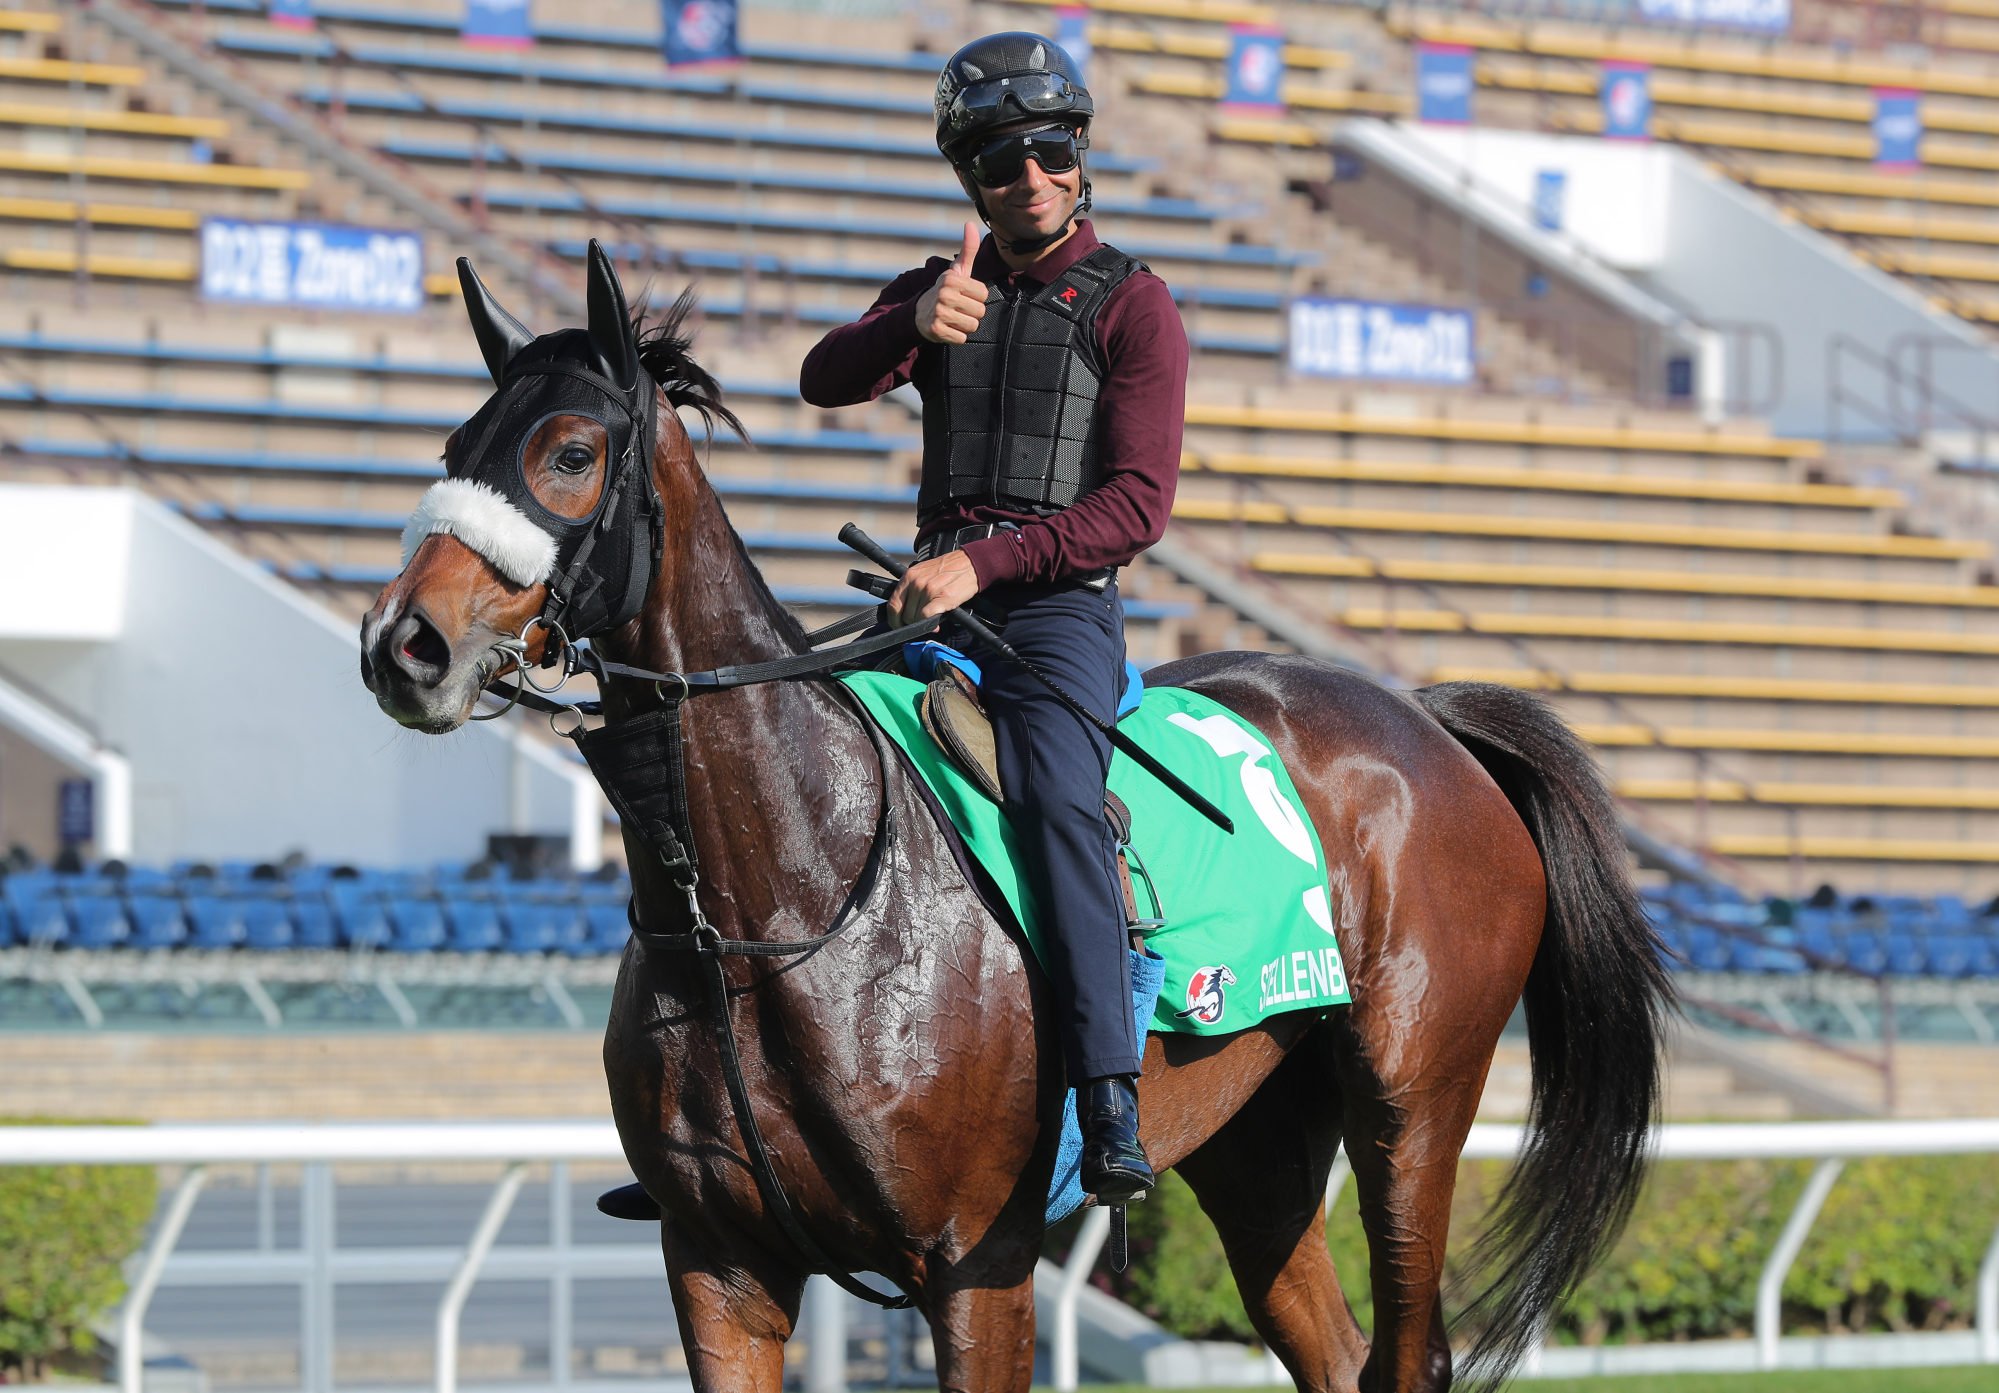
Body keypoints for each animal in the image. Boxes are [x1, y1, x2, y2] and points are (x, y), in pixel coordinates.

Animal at [359, 244, 1671, 1391]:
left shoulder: (975, 1264)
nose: (403, 643)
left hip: (1412, 1106)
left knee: (1408, 1348)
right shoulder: (719, 1264)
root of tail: (1428, 718)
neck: (776, 899)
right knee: (1334, 1351)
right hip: (1255, 1135)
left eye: (572, 451)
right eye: (454, 446)